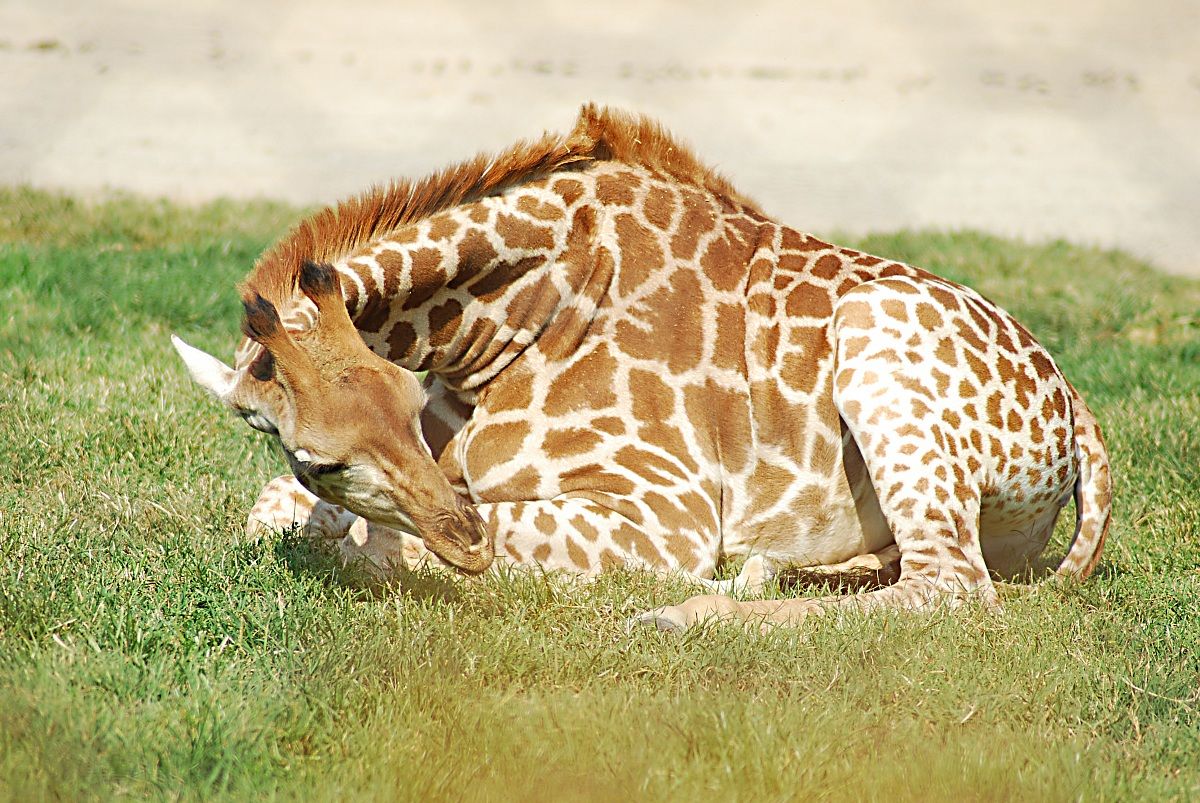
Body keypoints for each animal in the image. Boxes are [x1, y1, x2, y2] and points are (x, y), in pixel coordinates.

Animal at [173, 104, 1111, 630]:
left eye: (404, 398)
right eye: (321, 457)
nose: (464, 541)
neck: (508, 322)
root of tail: (1078, 413)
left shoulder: (667, 515)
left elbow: (360, 545)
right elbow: (276, 513)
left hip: (880, 342)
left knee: (953, 586)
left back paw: (682, 614)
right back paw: (765, 571)